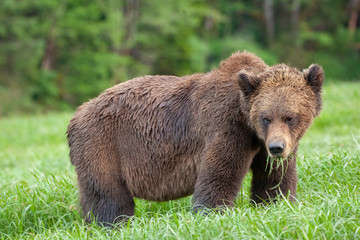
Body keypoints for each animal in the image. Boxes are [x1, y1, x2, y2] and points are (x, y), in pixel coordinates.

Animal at [67, 50, 324, 225]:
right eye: (266, 118)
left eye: (290, 117)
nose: (277, 148)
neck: (247, 122)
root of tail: (76, 115)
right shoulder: (225, 127)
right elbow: (218, 176)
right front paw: (212, 213)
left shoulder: (263, 145)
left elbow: (274, 178)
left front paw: (276, 203)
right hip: (103, 145)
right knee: (110, 197)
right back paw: (113, 224)